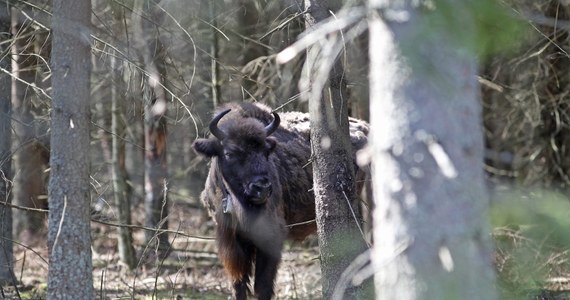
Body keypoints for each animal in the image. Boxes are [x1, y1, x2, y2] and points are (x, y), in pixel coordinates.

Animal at [191, 102, 368, 298]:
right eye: (230, 153)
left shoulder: (271, 239)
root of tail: (362, 126)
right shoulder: (230, 240)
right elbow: (239, 283)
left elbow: (263, 285)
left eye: (265, 151)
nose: (262, 188)